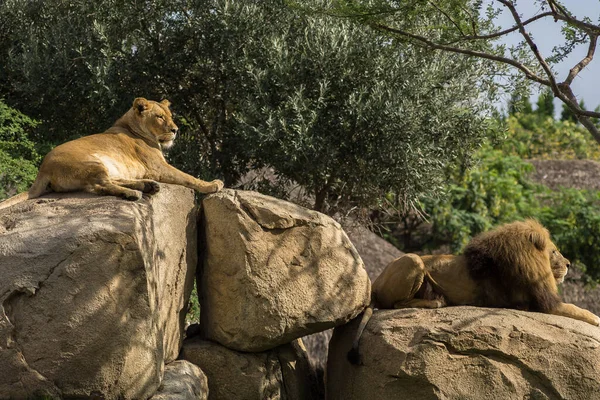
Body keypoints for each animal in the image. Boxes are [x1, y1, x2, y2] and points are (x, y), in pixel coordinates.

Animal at [0, 97, 224, 211]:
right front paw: (212, 185)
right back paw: (134, 193)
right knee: (99, 186)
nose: (176, 130)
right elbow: (188, 177)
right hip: (91, 163)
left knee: (110, 181)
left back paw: (147, 186)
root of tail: (42, 169)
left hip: (105, 166)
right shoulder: (158, 167)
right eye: (160, 117)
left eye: (170, 116)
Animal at [346, 219, 600, 366]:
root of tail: (374, 285)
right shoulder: (544, 303)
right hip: (413, 259)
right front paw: (596, 319)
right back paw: (437, 302)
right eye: (554, 251)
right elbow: (580, 310)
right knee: (395, 304)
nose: (568, 264)